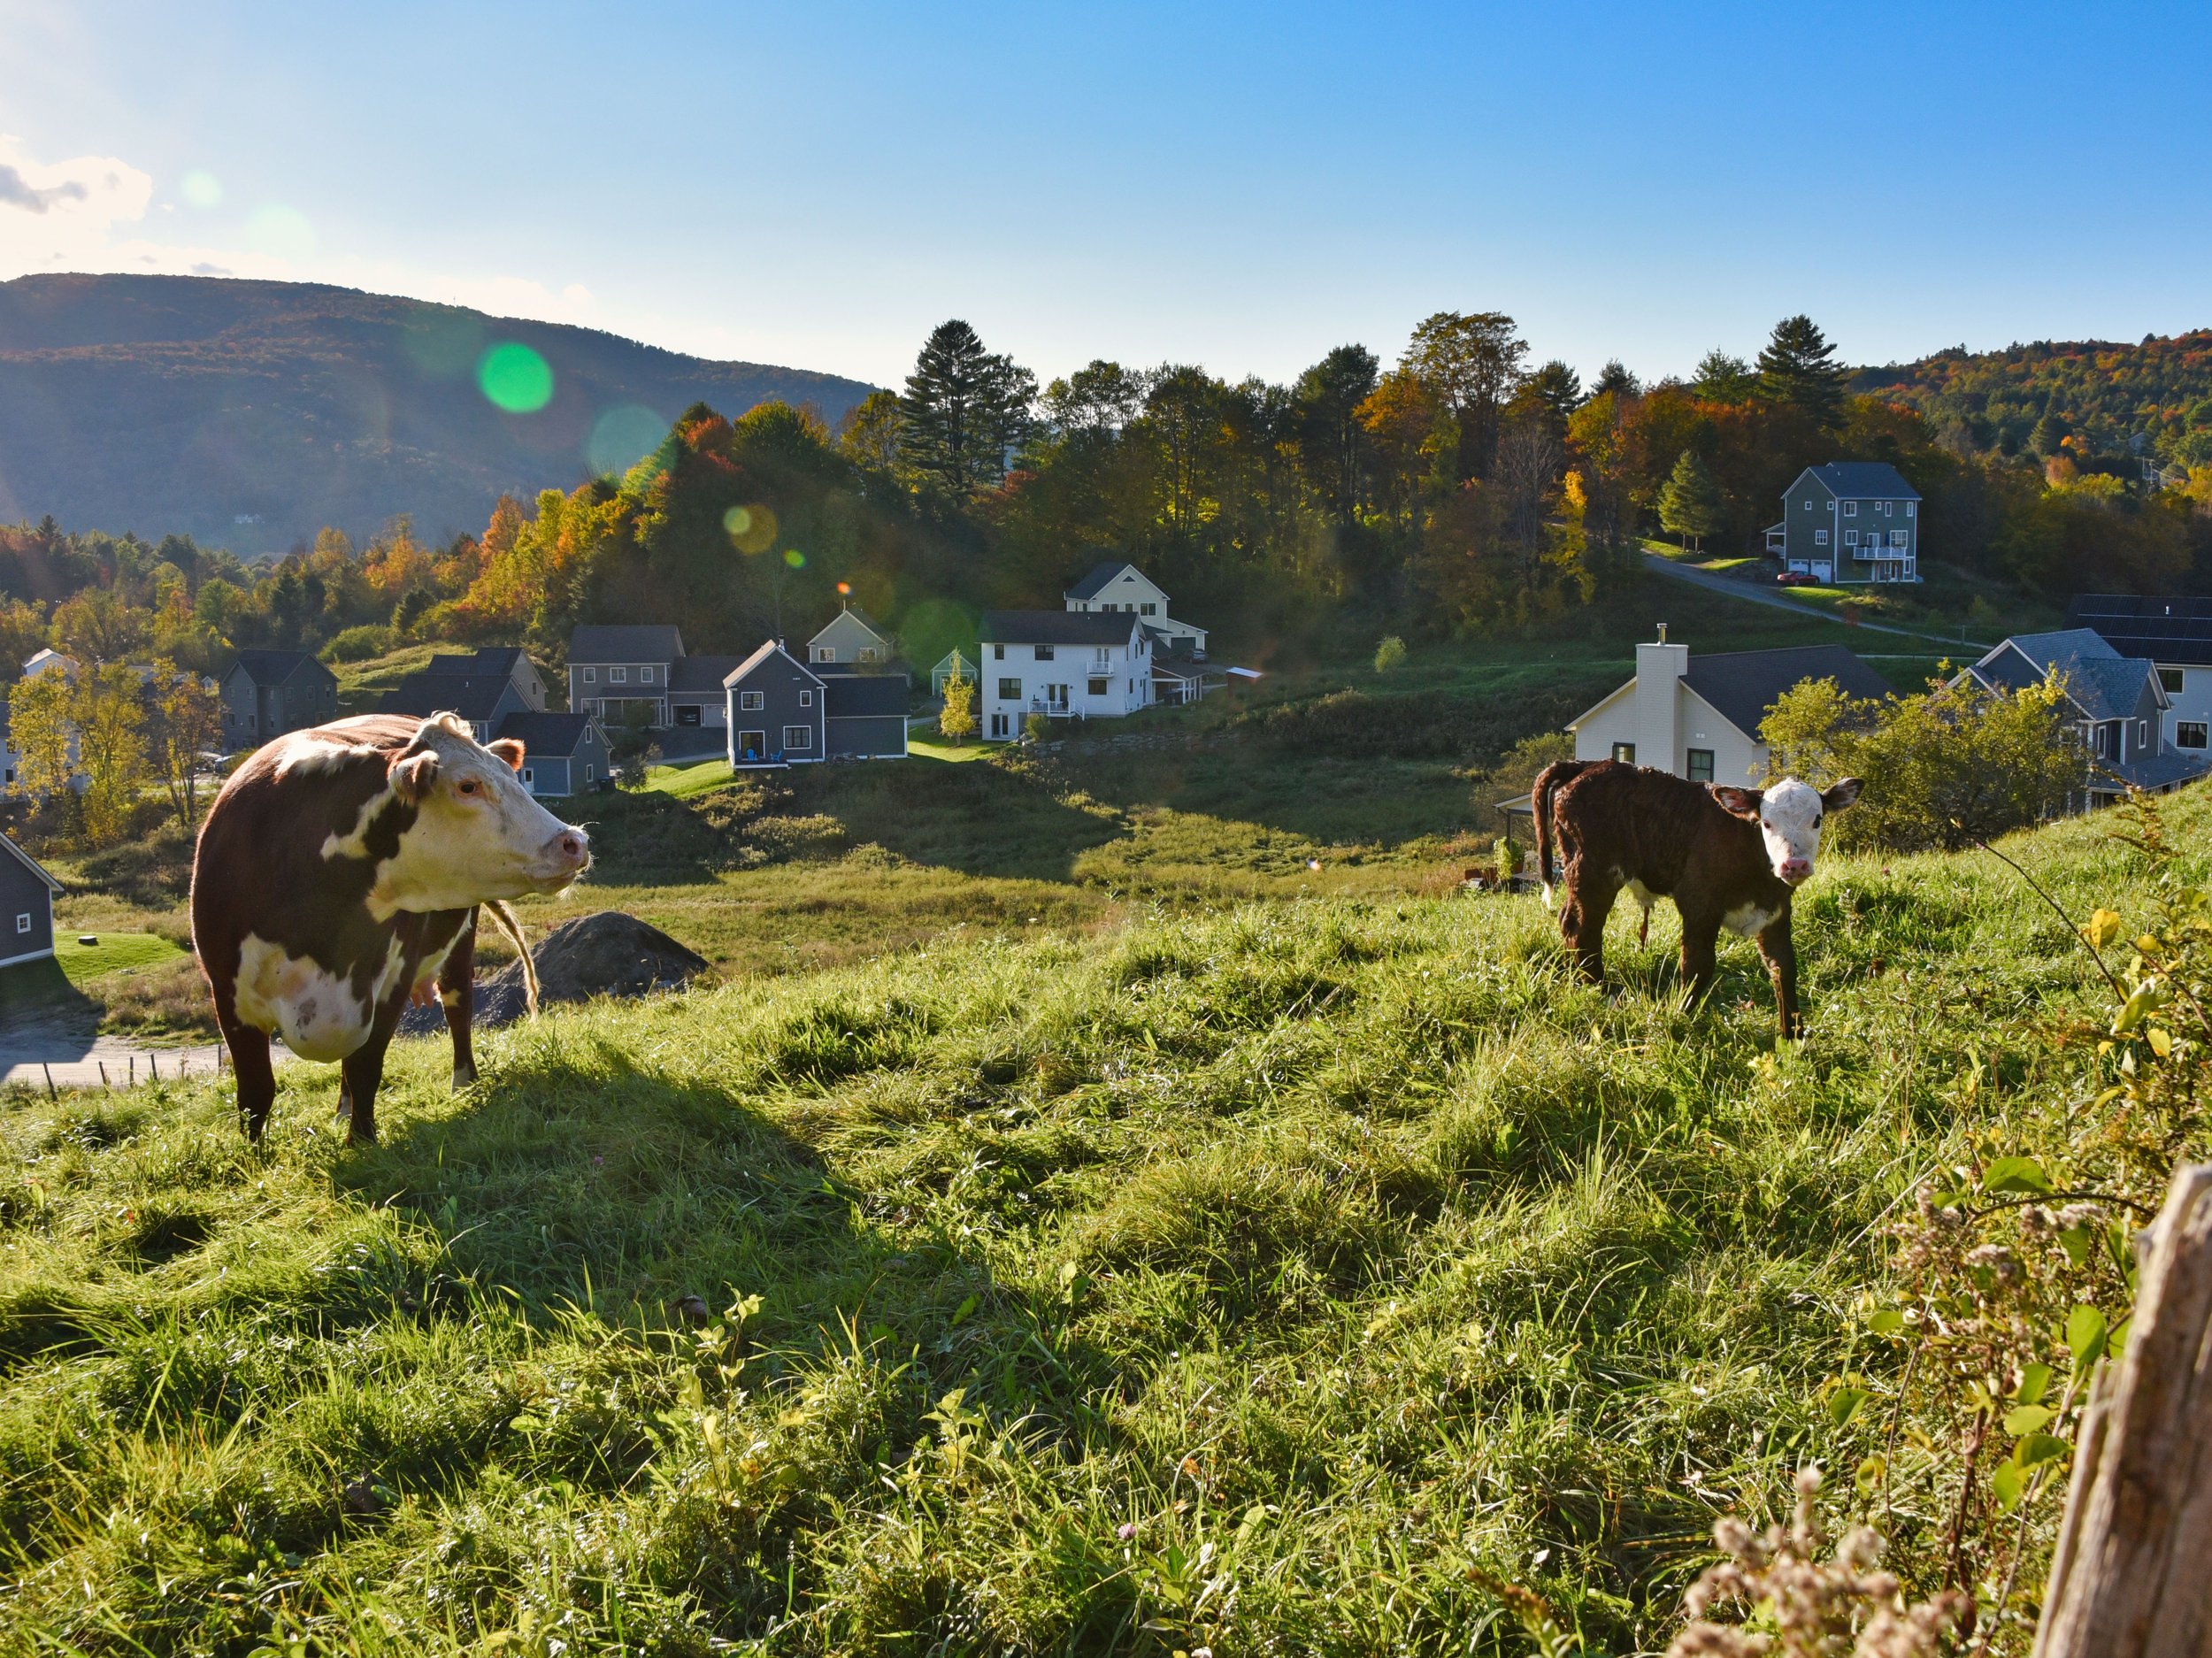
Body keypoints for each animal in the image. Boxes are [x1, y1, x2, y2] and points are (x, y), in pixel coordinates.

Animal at [191, 716, 588, 1140]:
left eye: (514, 777)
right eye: (467, 786)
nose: (574, 841)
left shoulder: (392, 980)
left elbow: (366, 1067)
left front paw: (362, 1141)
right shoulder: (229, 997)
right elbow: (256, 1092)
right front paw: (255, 1154)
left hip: (459, 940)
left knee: (458, 1007)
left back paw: (464, 1083)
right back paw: (342, 1109)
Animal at [1531, 764, 1858, 1039]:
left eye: (1817, 819)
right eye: (1766, 823)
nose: (1794, 865)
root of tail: (1586, 765)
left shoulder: (1775, 913)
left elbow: (1784, 969)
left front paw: (1793, 1037)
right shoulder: (1698, 903)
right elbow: (1697, 966)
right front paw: (1679, 1018)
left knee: (1567, 921)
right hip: (1594, 873)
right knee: (1582, 931)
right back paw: (1608, 993)